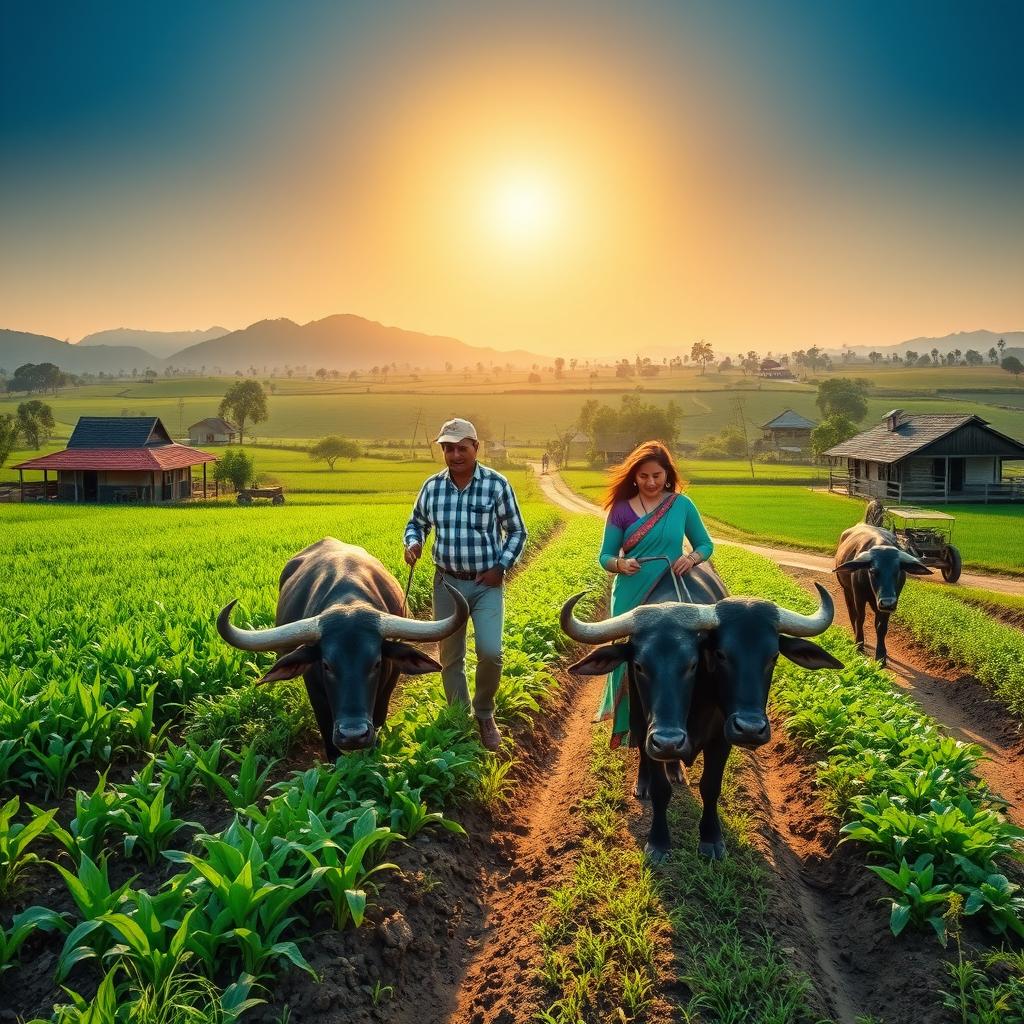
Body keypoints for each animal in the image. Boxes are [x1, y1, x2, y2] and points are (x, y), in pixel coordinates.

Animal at [561, 569, 839, 864]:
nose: (750, 729)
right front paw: (658, 842)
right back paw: (644, 782)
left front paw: (711, 839)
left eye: (773, 656)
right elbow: (660, 789)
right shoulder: (650, 730)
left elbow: (710, 787)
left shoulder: (721, 739)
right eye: (639, 666)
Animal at [835, 524, 933, 667]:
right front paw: (859, 644)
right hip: (847, 591)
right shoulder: (859, 597)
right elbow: (860, 618)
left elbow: (881, 626)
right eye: (872, 570)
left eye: (897, 570)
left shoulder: (890, 603)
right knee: (852, 613)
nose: (887, 602)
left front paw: (881, 655)